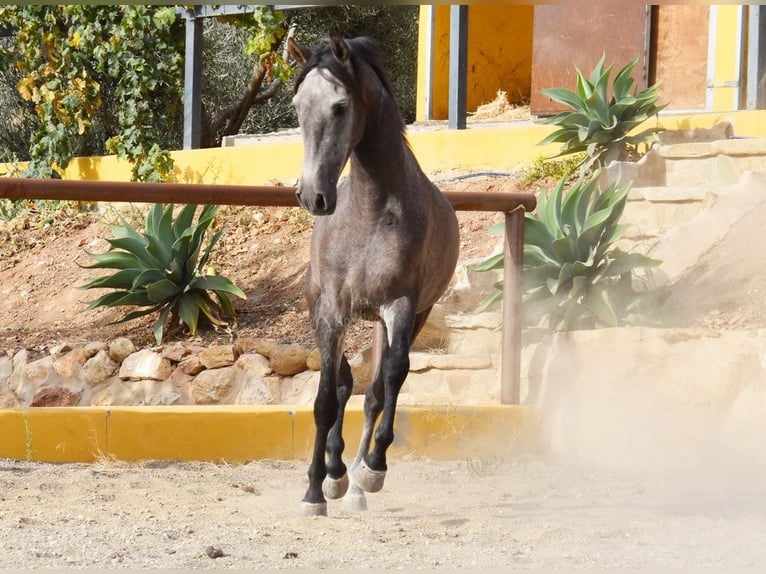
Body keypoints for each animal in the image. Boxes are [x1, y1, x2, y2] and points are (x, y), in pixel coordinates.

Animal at [286, 37, 456, 520]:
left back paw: (359, 479)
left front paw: (373, 468)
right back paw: (336, 475)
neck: (370, 211)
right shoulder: (330, 311)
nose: (312, 195)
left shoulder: (400, 305)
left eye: (340, 106)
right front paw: (314, 491)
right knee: (347, 385)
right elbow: (326, 397)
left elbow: (392, 378)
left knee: (378, 391)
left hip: (407, 316)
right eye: (297, 107)